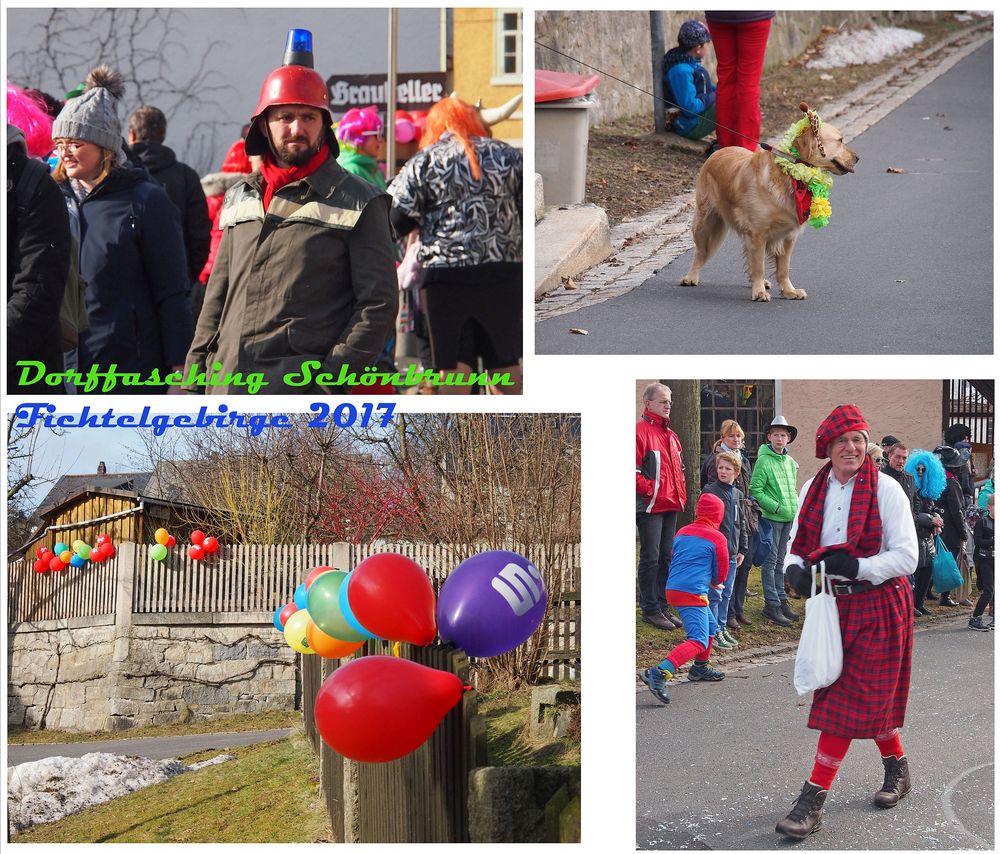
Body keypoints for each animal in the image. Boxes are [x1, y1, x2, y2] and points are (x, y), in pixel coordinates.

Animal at [680, 105, 860, 302]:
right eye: (840, 140)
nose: (858, 158)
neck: (790, 177)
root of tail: (717, 152)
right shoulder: (758, 233)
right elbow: (759, 265)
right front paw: (759, 292)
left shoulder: (788, 236)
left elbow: (783, 269)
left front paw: (789, 291)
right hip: (706, 222)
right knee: (700, 252)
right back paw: (691, 277)